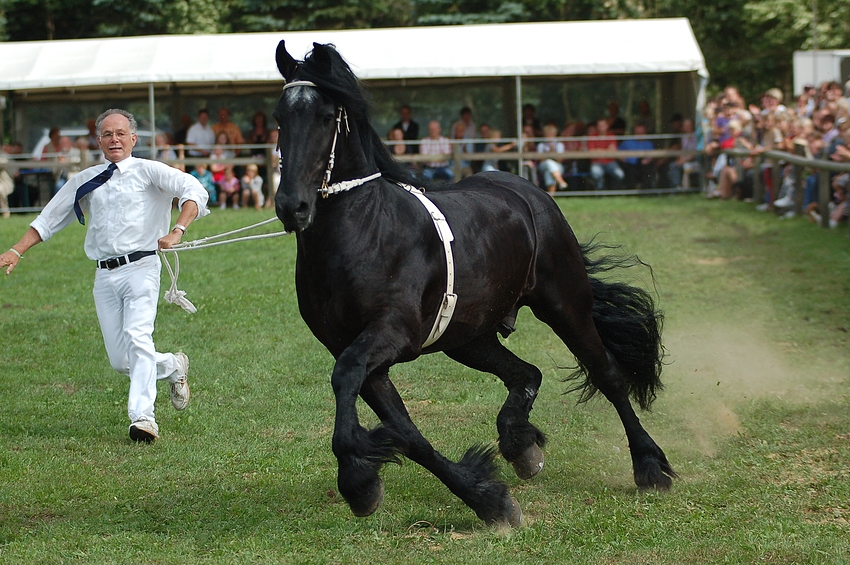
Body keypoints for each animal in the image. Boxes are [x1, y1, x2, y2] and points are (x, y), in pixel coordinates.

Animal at [272, 41, 676, 528]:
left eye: (326, 115)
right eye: (279, 117)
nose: (291, 206)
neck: (366, 232)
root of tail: (527, 190)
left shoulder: (389, 334)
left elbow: (345, 377)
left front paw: (356, 477)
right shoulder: (360, 352)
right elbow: (407, 433)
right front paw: (486, 498)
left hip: (564, 304)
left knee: (608, 376)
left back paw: (649, 464)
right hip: (468, 337)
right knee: (527, 373)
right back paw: (521, 445)